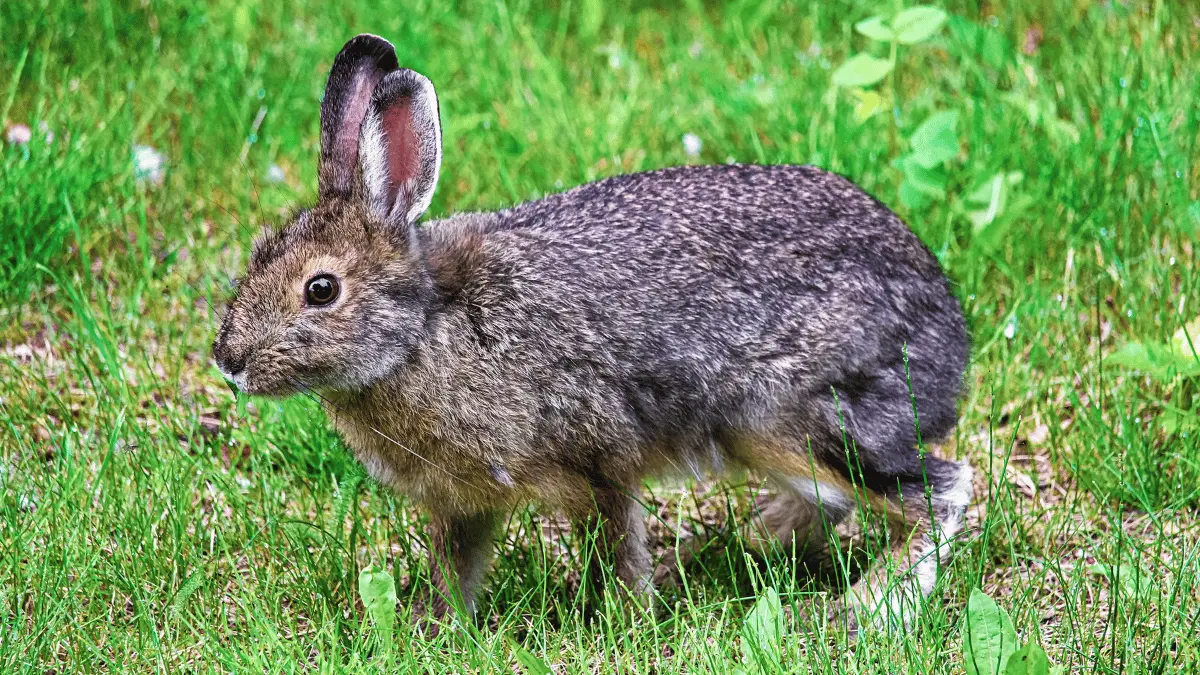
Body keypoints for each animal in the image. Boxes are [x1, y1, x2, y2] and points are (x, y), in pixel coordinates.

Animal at [208, 32, 974, 629]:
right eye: (257, 255)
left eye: (321, 289)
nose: (228, 360)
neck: (425, 330)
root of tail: (948, 339)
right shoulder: (464, 500)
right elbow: (456, 565)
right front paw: (429, 627)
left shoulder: (600, 456)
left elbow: (616, 544)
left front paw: (626, 620)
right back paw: (751, 543)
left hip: (792, 414)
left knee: (937, 491)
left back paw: (864, 604)